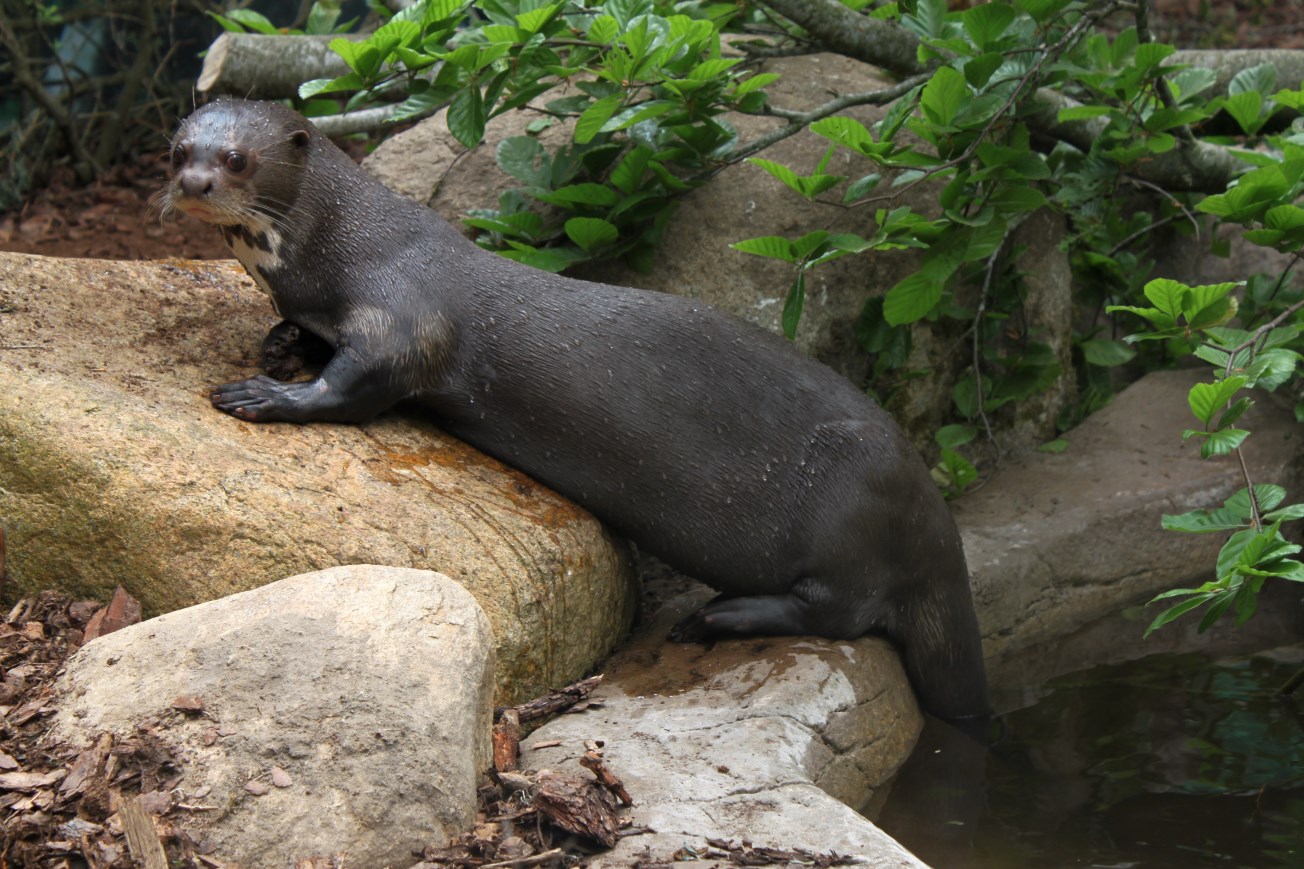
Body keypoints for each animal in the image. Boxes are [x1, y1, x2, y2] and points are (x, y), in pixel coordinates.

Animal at [161, 98, 989, 721]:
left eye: (236, 158)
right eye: (178, 149)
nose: (195, 182)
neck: (338, 249)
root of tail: (937, 528)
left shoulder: (403, 313)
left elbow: (362, 382)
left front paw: (262, 394)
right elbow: (305, 335)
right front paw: (279, 344)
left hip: (853, 503)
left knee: (841, 612)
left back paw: (718, 616)